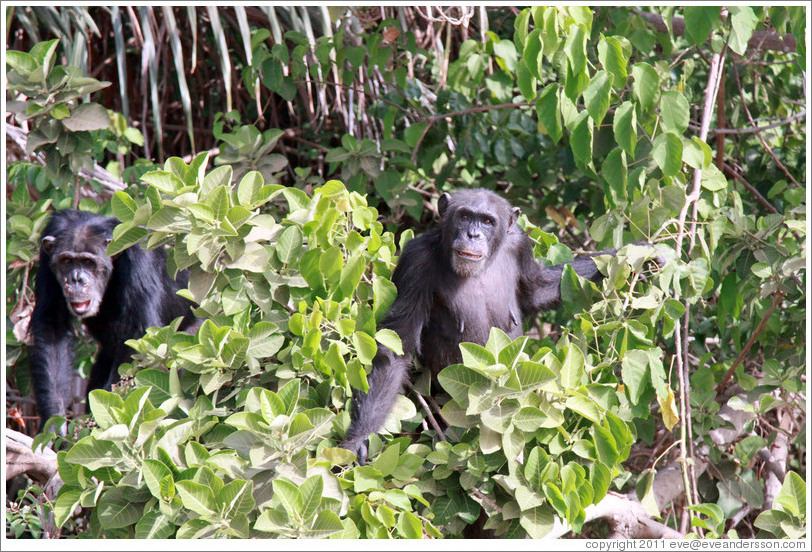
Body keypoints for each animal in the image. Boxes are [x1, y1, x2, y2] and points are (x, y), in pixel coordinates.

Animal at [29, 209, 197, 430]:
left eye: (88, 262)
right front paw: (55, 422)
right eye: (67, 261)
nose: (76, 279)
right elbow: (52, 322)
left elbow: (138, 336)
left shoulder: (138, 254)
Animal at [342, 189, 652, 462]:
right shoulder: (415, 261)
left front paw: (639, 252)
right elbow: (398, 345)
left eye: (488, 221)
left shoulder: (521, 244)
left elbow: (537, 290)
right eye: (465, 216)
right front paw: (358, 439)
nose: (473, 234)